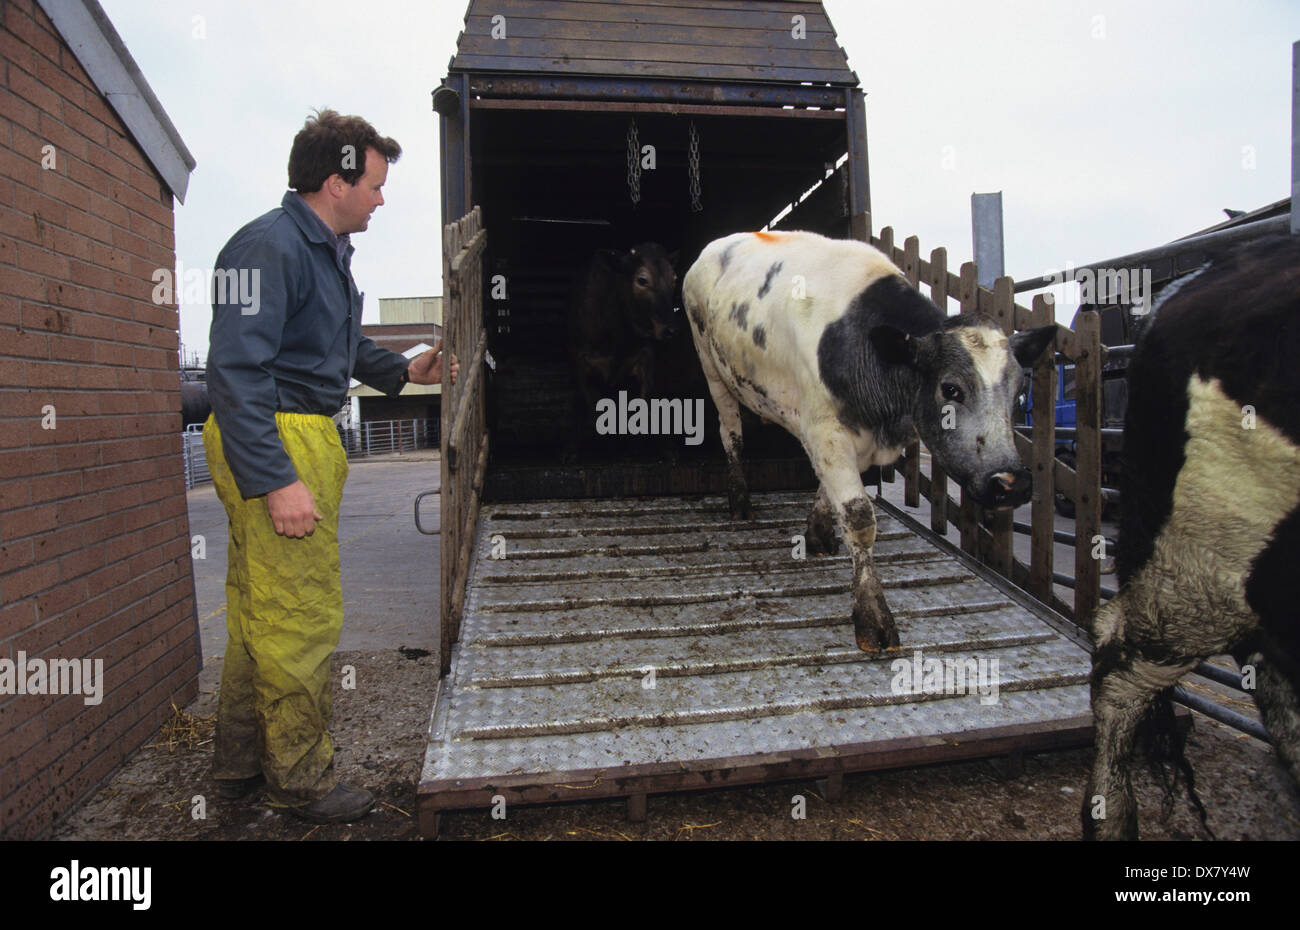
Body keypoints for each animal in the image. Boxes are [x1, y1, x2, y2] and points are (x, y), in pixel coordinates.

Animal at [567, 243, 680, 450]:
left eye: (674, 279)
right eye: (642, 280)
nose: (671, 329)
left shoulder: (647, 356)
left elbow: (647, 400)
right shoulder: (577, 358)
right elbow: (584, 405)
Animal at [683, 229, 1056, 653]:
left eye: (1020, 391)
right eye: (951, 389)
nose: (1011, 482)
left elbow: (830, 493)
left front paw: (818, 532)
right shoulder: (825, 429)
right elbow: (860, 517)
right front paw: (873, 616)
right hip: (712, 367)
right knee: (730, 431)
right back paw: (739, 499)